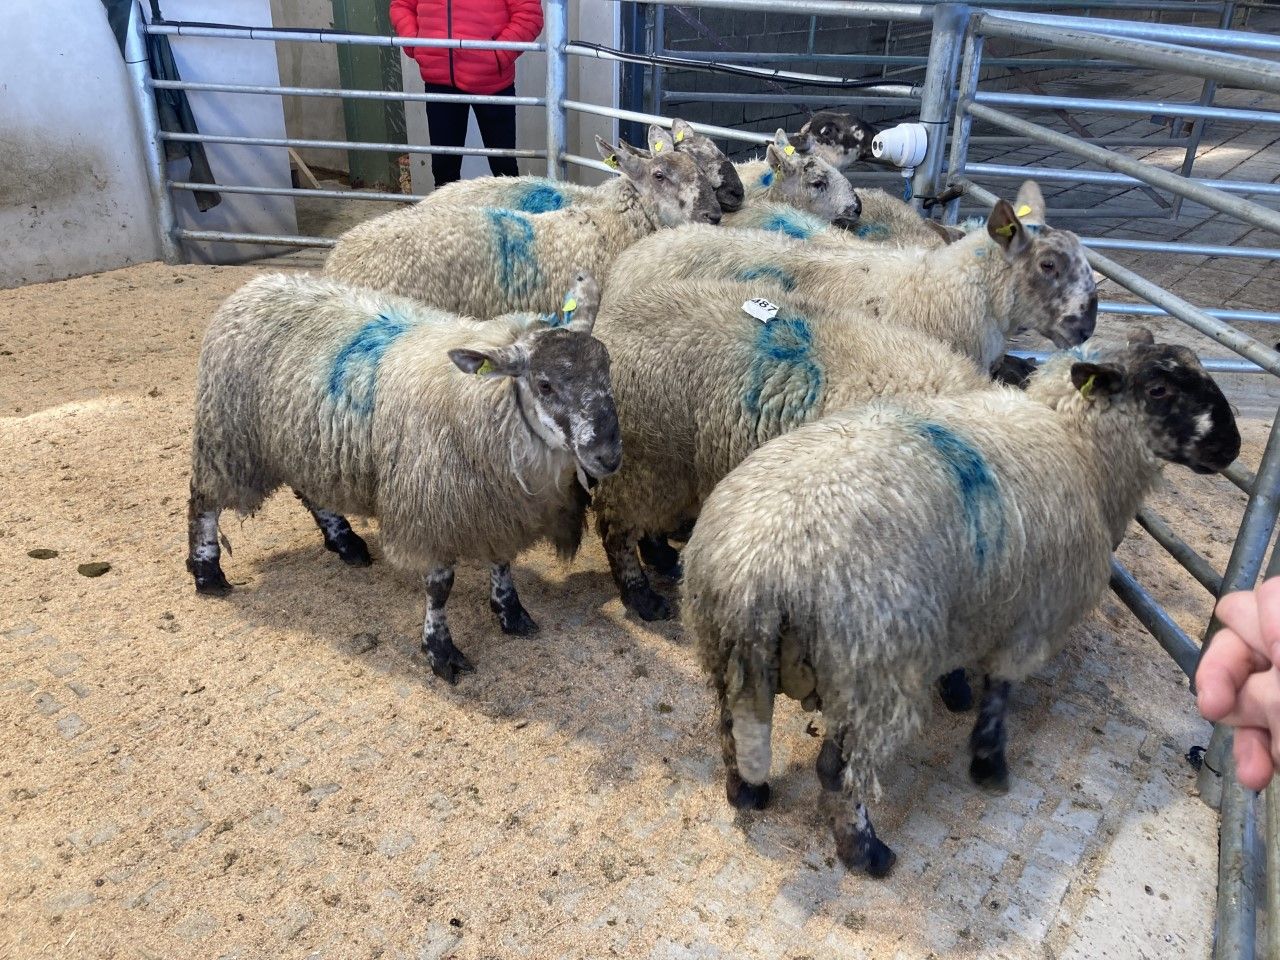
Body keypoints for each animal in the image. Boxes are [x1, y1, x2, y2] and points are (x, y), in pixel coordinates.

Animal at [185, 270, 621, 685]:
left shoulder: (495, 503)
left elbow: (501, 561)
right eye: (545, 385)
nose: (608, 455)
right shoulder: (430, 509)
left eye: (608, 369)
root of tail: (255, 285)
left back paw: (344, 542)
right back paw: (207, 572)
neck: (484, 400)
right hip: (228, 439)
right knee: (203, 501)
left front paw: (510, 612)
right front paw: (440, 652)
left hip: (305, 442)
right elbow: (440, 587)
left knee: (311, 492)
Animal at [588, 277, 993, 621]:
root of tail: (606, 326)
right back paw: (642, 596)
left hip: (673, 465)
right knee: (616, 528)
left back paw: (662, 557)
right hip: (644, 461)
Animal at [681, 328, 1240, 876]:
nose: (1231, 446)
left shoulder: (972, 603)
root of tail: (757, 568)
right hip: (872, 671)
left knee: (732, 731)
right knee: (837, 772)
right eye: (1159, 389)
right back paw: (865, 852)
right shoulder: (1032, 615)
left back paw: (748, 794)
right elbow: (999, 693)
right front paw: (988, 763)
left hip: (724, 648)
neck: (1078, 447)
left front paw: (954, 690)